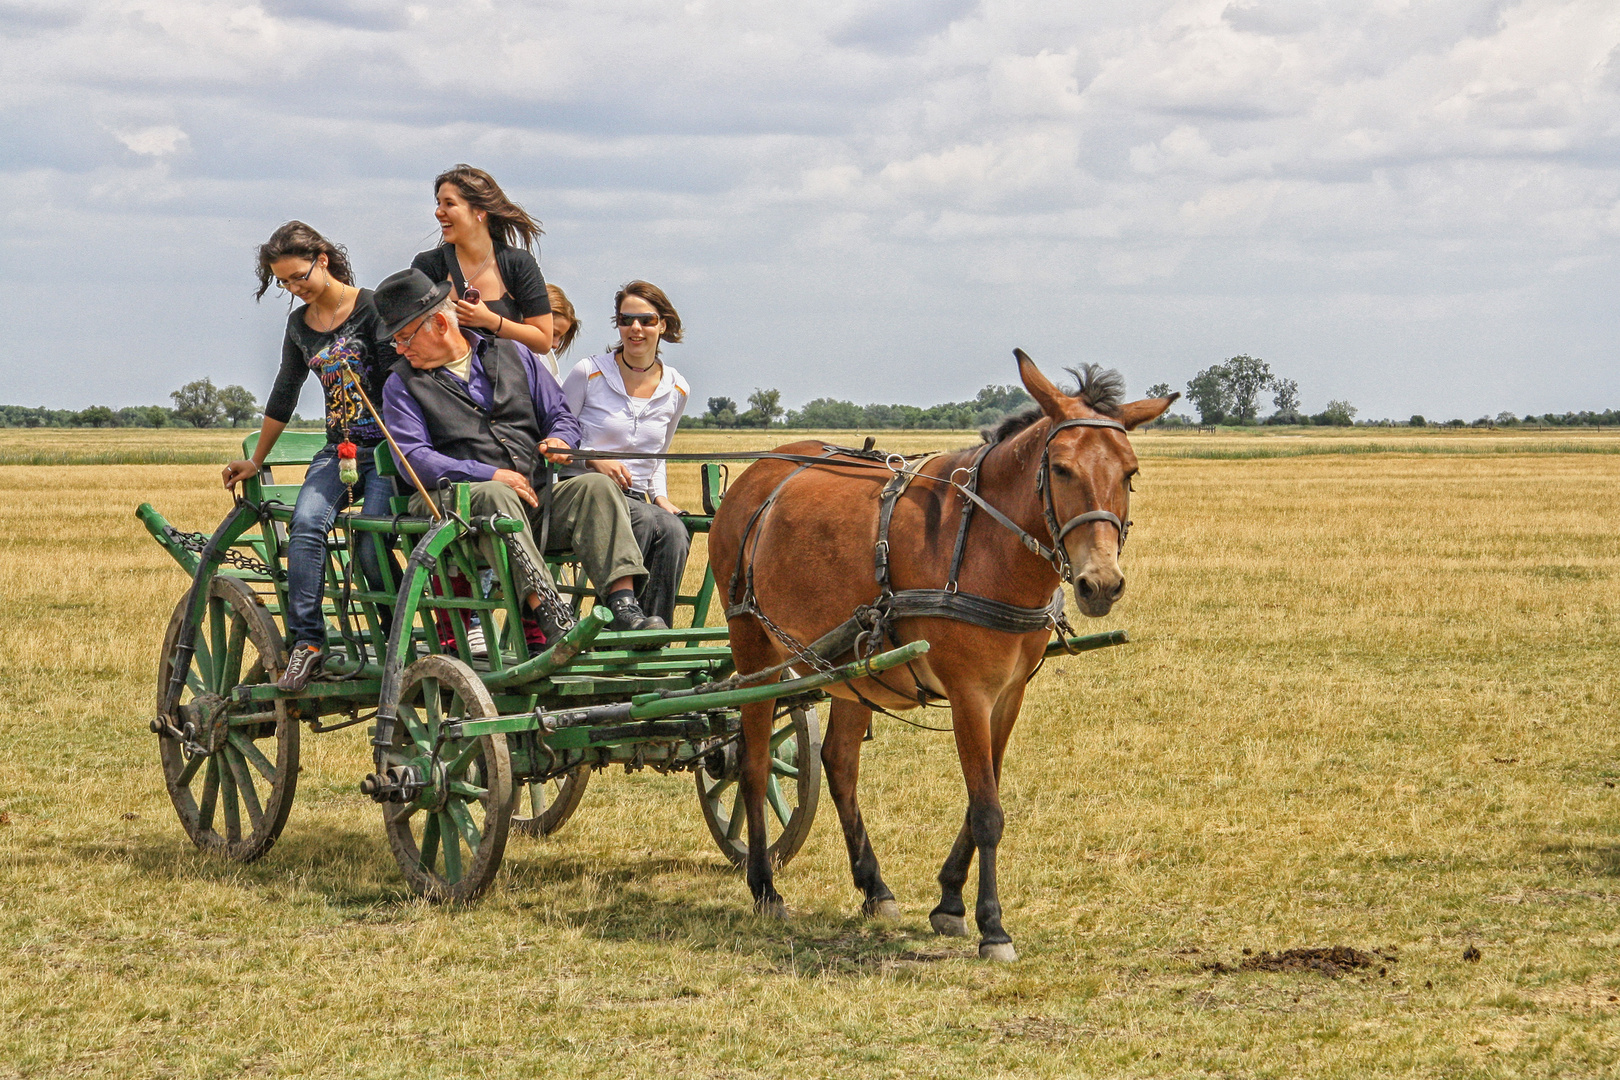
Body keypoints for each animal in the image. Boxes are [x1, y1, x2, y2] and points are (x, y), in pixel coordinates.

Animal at [712, 352, 1179, 965]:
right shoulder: (968, 693)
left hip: (852, 668)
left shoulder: (1008, 695)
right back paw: (765, 886)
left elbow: (985, 795)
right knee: (755, 761)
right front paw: (992, 927)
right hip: (751, 646)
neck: (985, 548)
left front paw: (950, 901)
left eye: (1130, 472)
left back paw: (874, 887)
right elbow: (986, 811)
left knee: (839, 763)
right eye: (1060, 469)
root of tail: (759, 473)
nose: (1100, 583)